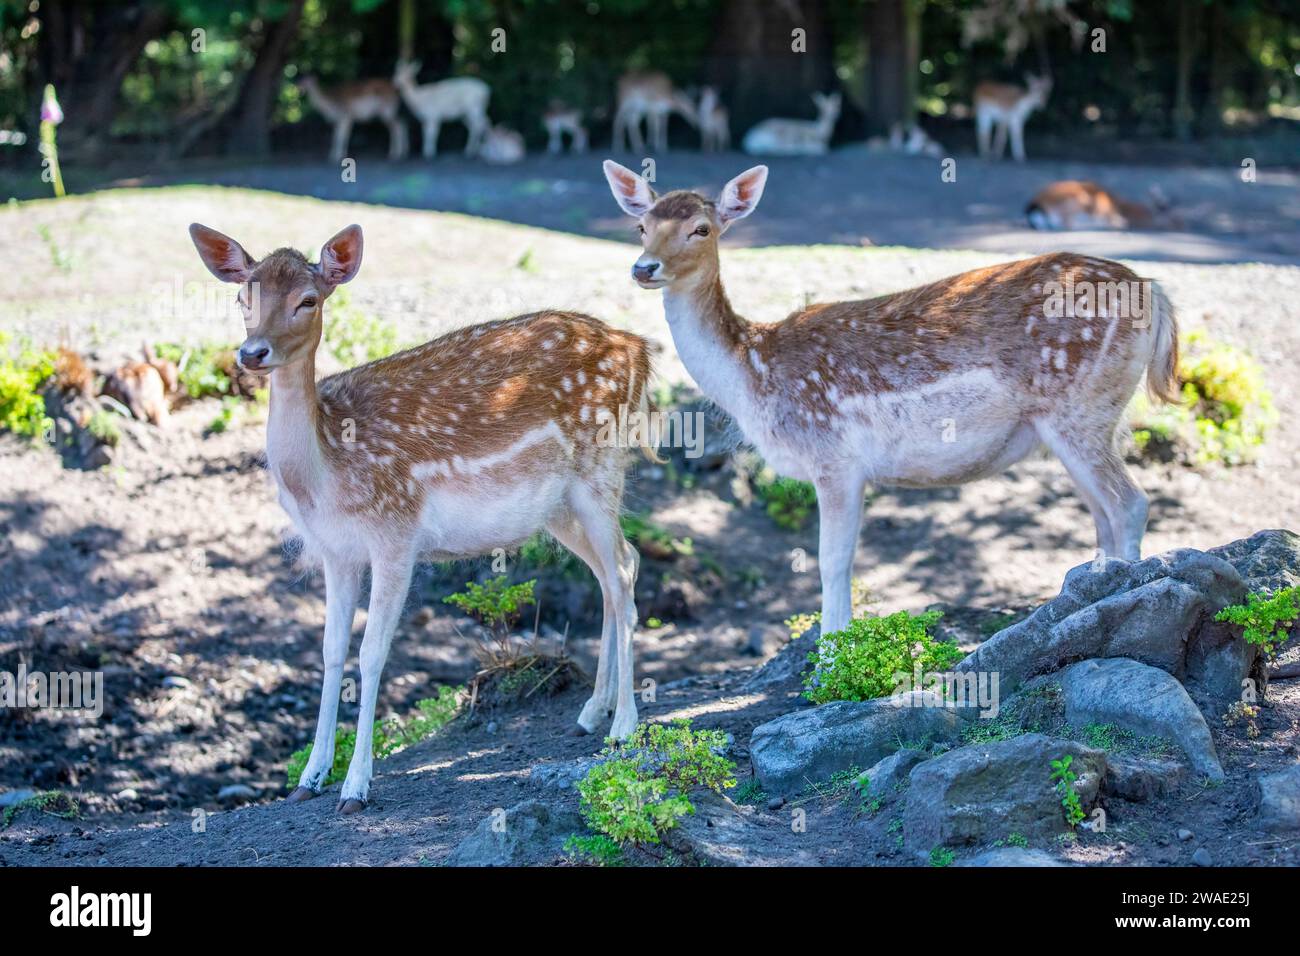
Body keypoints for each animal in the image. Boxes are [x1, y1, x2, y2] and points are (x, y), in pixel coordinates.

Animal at [188, 223, 655, 816]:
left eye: (308, 300)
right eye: (242, 297)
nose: (252, 352)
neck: (325, 476)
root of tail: (638, 349)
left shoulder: (395, 533)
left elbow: (371, 654)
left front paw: (356, 788)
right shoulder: (336, 551)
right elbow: (330, 652)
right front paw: (309, 778)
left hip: (600, 470)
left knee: (622, 572)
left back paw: (623, 726)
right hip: (560, 507)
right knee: (618, 568)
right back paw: (592, 712)